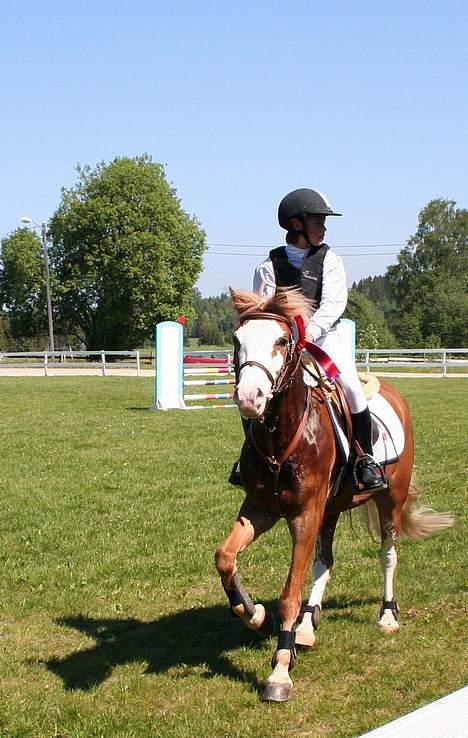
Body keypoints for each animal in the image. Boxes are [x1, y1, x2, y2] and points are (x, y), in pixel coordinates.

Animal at [216, 284, 454, 700]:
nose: (249, 397)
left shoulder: (304, 516)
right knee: (324, 561)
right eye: (236, 340)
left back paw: (387, 614)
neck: (281, 440)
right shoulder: (260, 509)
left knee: (387, 555)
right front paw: (255, 614)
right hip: (330, 509)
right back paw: (307, 626)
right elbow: (225, 557)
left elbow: (290, 594)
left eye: (282, 341)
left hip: (388, 501)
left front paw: (280, 670)